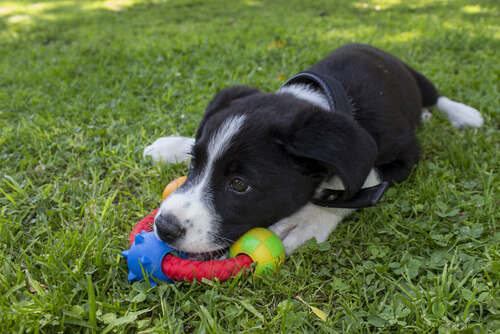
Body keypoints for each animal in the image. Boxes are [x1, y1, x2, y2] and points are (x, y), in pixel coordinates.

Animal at [145, 43, 484, 258]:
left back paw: (464, 114)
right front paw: (173, 145)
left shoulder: (406, 154)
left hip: (415, 77)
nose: (164, 227)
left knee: (437, 96)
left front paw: (308, 219)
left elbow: (358, 182)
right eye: (194, 163)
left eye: (239, 185)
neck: (326, 102)